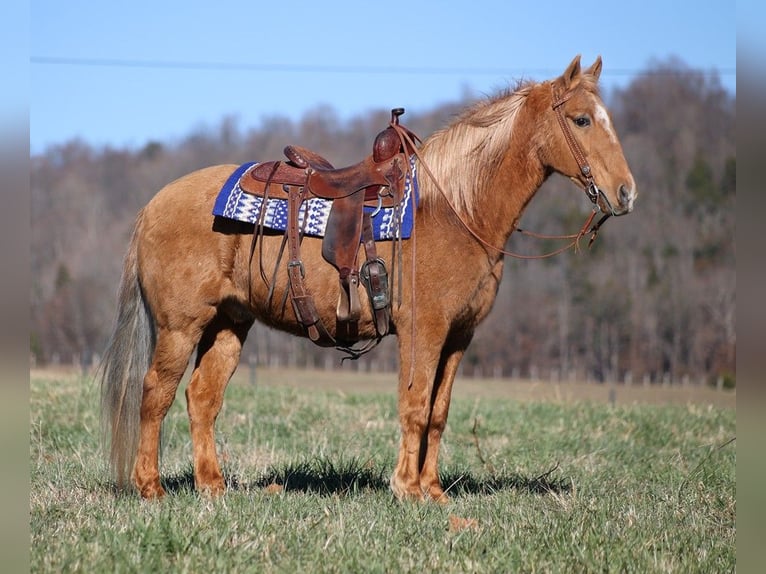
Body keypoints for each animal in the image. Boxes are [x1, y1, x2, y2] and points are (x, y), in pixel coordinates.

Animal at [97, 56, 636, 502]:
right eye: (582, 119)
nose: (626, 193)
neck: (456, 208)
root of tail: (153, 205)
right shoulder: (423, 330)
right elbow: (415, 405)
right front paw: (407, 490)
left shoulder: (459, 336)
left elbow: (439, 413)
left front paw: (434, 492)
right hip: (180, 327)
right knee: (155, 393)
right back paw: (151, 488)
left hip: (229, 323)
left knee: (201, 398)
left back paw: (213, 487)